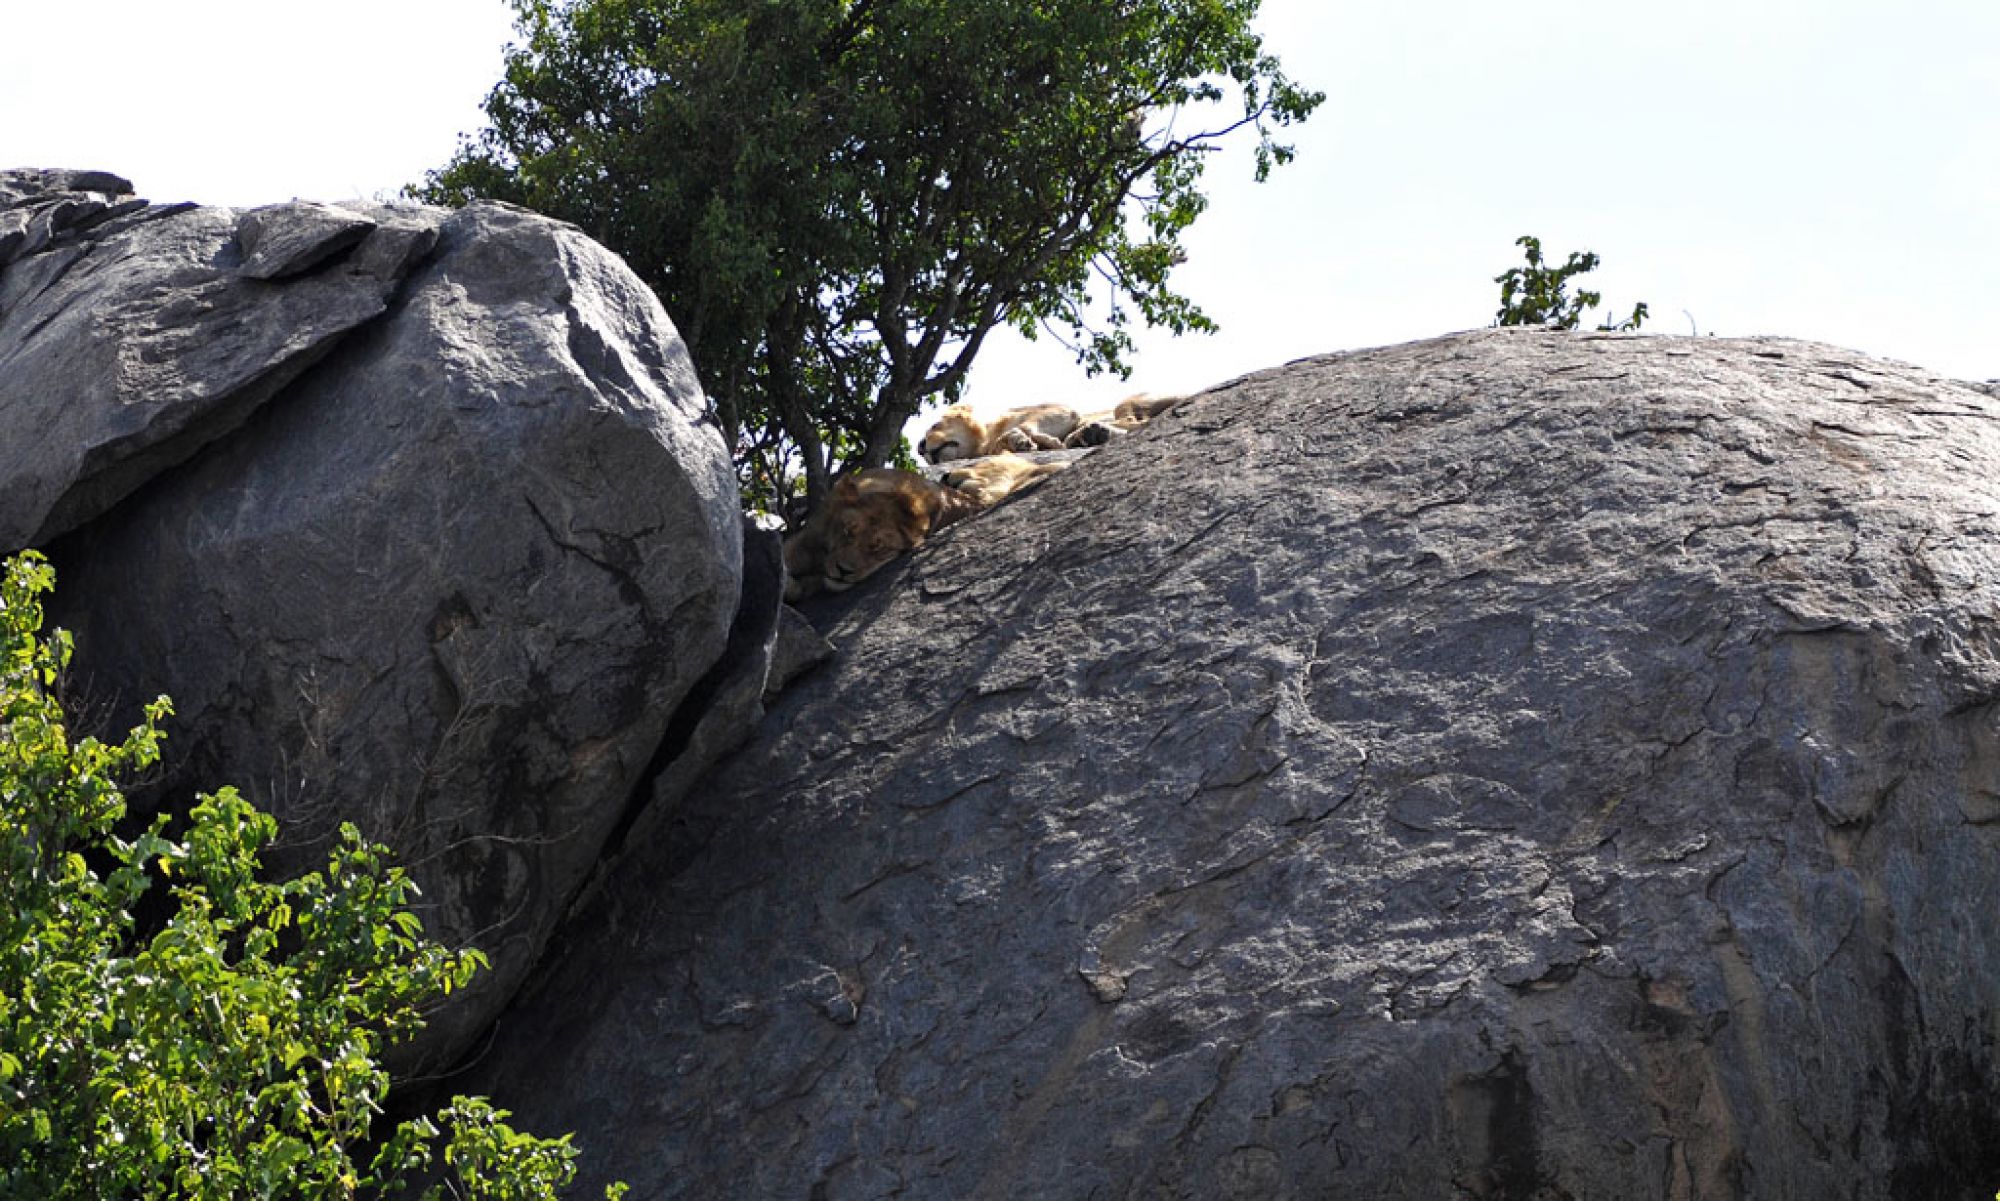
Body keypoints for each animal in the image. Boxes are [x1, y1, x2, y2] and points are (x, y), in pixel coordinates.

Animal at [918, 393, 1186, 464]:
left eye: (935, 425)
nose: (921, 448)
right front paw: (1020, 443)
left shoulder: (1059, 409)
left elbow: (1026, 425)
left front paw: (1037, 441)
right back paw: (1089, 434)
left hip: (1127, 402)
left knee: (1135, 421)